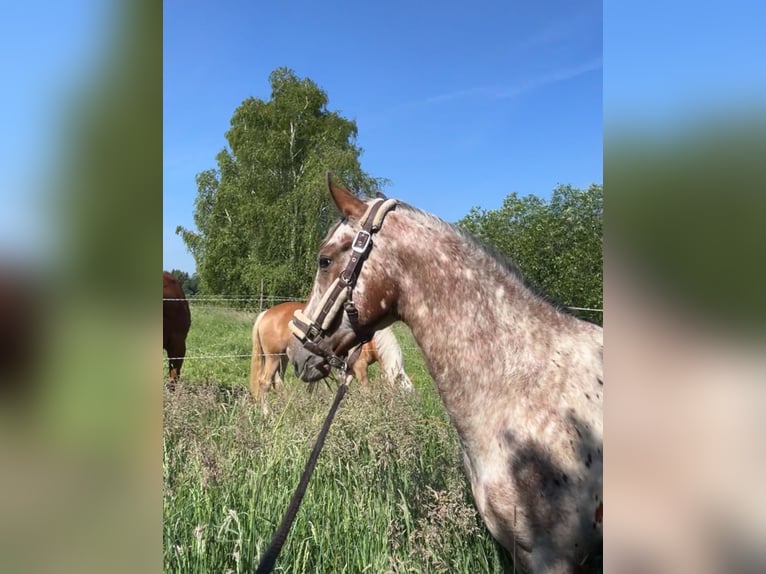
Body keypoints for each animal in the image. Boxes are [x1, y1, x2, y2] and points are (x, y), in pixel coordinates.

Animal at [250, 302, 414, 414]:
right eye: (402, 394)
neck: (370, 342)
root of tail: (266, 313)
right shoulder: (360, 368)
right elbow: (366, 390)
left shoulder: (349, 369)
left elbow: (343, 388)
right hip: (273, 357)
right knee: (264, 382)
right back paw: (267, 414)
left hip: (282, 358)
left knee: (277, 382)